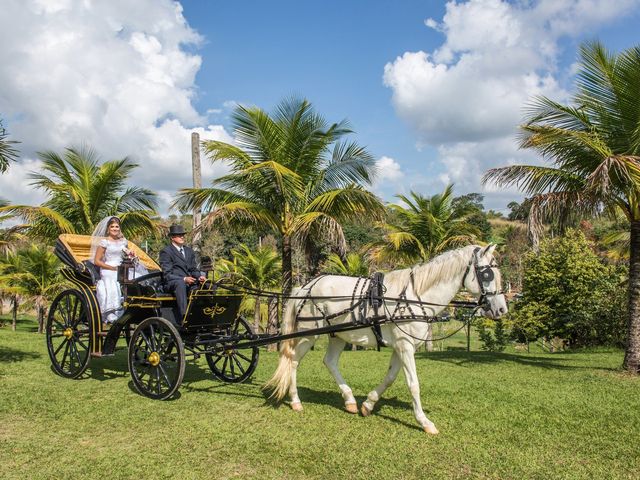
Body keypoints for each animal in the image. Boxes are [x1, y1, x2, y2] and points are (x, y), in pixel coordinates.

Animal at [262, 246, 508, 434]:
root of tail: (305, 286)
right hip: (308, 332)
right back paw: (296, 401)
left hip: (339, 334)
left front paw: (368, 404)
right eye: (487, 274)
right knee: (293, 361)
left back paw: (349, 400)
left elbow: (390, 378)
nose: (502, 309)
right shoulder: (405, 346)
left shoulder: (402, 346)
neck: (416, 296)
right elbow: (413, 384)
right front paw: (424, 422)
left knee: (329, 361)